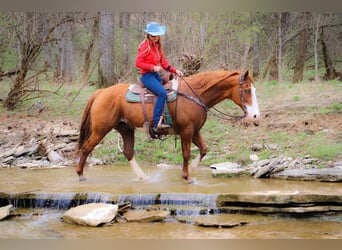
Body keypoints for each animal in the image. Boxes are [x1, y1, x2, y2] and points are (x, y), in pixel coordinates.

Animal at [76, 69, 260, 183]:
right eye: (247, 90)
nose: (255, 116)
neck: (195, 95)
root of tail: (100, 92)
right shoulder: (187, 131)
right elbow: (186, 154)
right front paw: (187, 176)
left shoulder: (195, 131)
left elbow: (203, 149)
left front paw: (190, 170)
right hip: (100, 129)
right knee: (86, 147)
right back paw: (80, 175)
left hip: (126, 129)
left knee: (128, 152)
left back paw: (143, 177)